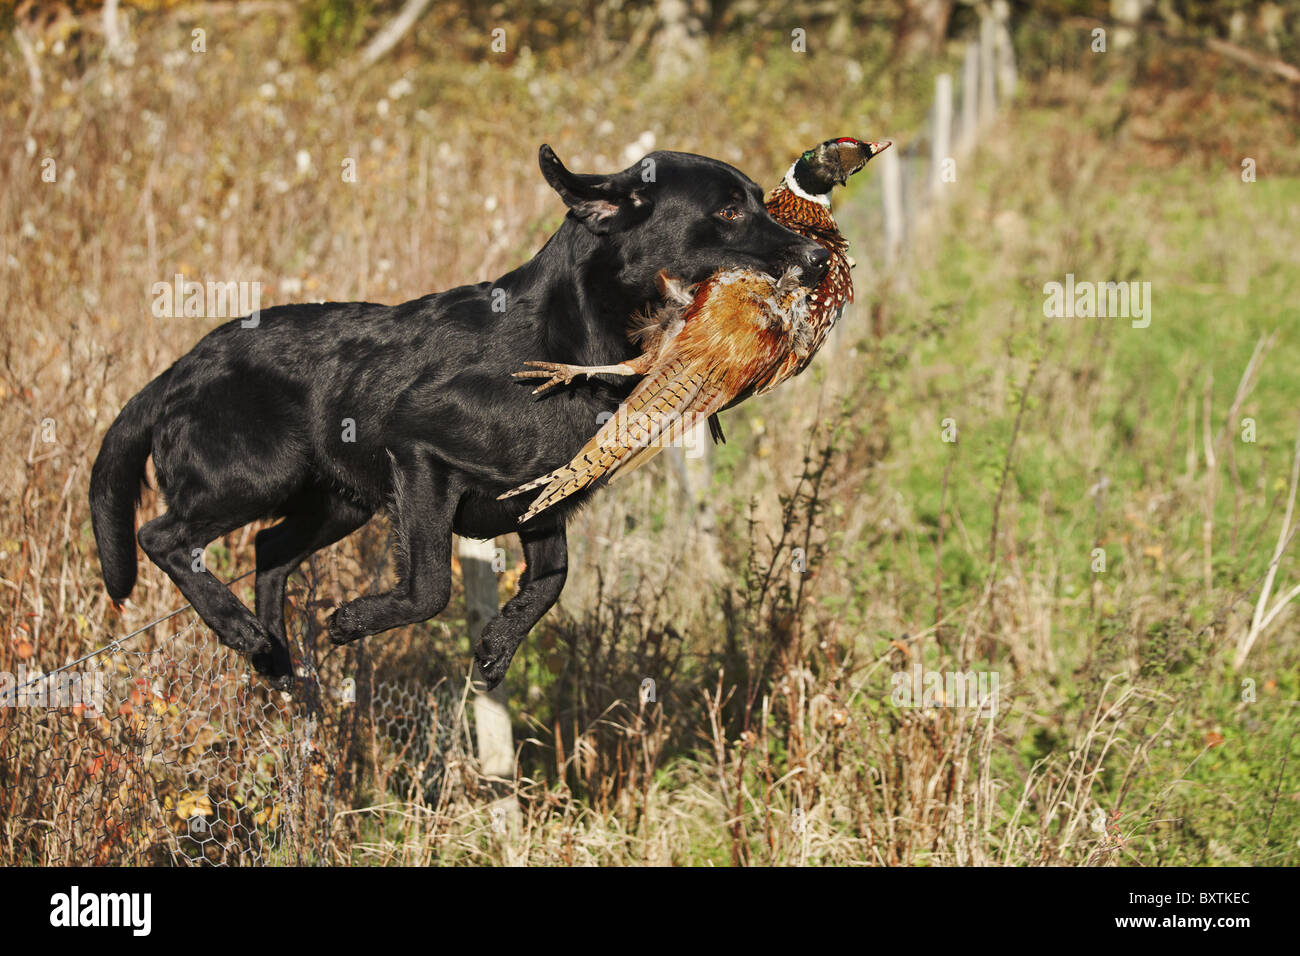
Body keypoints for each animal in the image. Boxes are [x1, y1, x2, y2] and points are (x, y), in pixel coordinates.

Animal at [91, 143, 826, 686]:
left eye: (760, 201)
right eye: (727, 211)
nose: (820, 258)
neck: (568, 339)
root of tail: (179, 368)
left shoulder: (542, 498)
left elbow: (551, 580)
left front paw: (497, 646)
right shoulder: (421, 456)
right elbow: (429, 589)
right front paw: (351, 621)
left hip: (338, 501)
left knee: (268, 550)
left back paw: (276, 660)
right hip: (254, 476)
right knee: (164, 537)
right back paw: (241, 628)